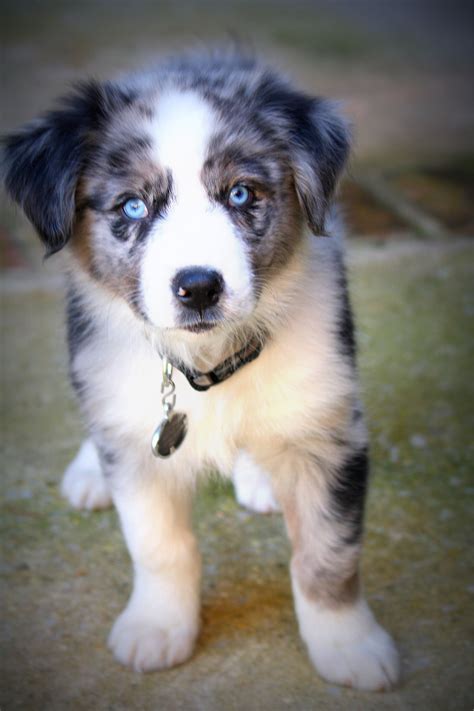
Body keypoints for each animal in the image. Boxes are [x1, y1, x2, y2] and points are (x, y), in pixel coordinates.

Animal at [2, 48, 400, 688]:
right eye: (132, 206)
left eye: (240, 195)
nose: (198, 287)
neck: (208, 362)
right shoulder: (139, 449)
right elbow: (158, 545)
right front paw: (158, 627)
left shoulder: (330, 428)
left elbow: (329, 551)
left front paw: (349, 645)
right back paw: (90, 471)